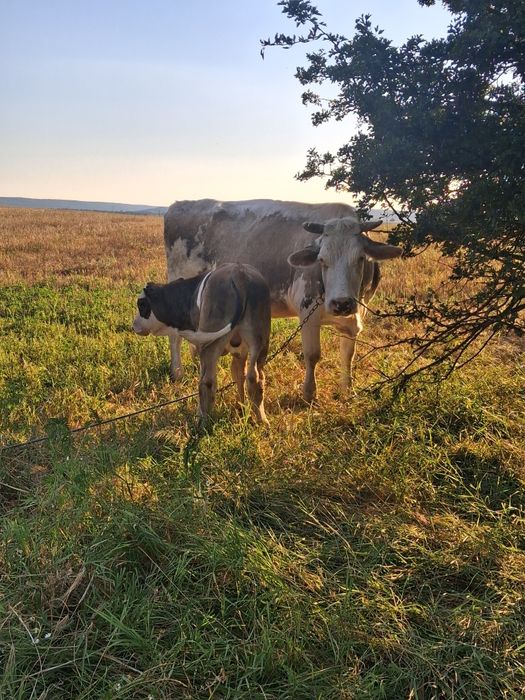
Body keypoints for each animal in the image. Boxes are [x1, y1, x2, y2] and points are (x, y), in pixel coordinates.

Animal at [132, 263, 271, 424]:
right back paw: (262, 420)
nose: (134, 326)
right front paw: (241, 409)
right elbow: (238, 375)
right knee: (255, 377)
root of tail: (239, 273)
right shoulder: (239, 352)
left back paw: (203, 420)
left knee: (207, 381)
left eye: (141, 304)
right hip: (260, 341)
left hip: (210, 345)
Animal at [164, 199, 402, 401]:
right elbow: (312, 355)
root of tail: (179, 205)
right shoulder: (308, 312)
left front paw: (347, 390)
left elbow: (348, 355)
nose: (341, 303)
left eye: (360, 258)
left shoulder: (354, 318)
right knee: (174, 335)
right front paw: (309, 393)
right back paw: (177, 372)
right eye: (322, 260)